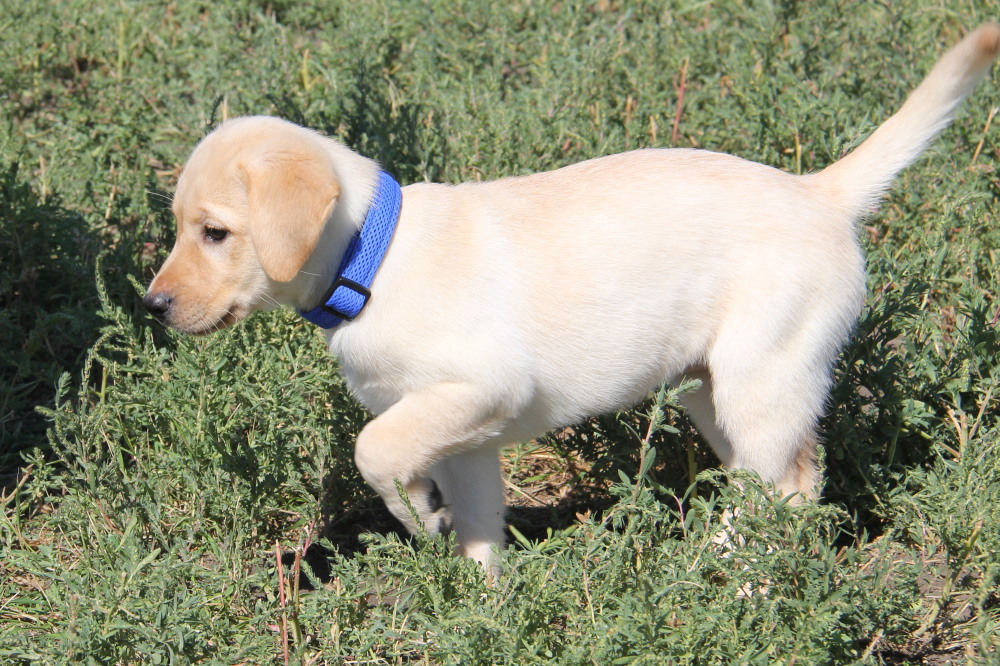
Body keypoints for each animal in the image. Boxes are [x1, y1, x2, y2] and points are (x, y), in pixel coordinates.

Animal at [148, 26, 1000, 564]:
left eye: (215, 233)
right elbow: (479, 529)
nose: (154, 306)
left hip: (764, 375)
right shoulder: (470, 438)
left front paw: (416, 513)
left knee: (790, 487)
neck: (374, 258)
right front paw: (479, 610)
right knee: (770, 480)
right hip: (712, 390)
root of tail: (819, 192)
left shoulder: (480, 387)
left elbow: (375, 448)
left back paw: (731, 572)